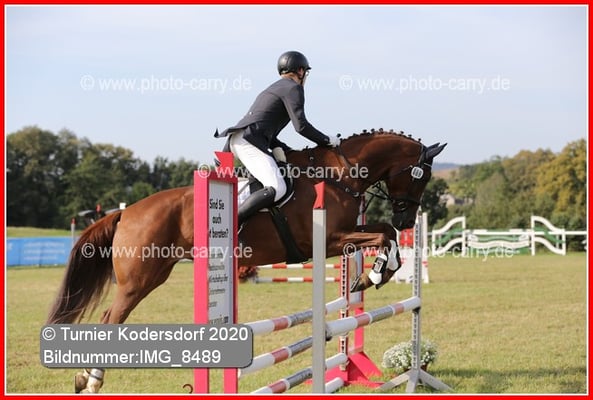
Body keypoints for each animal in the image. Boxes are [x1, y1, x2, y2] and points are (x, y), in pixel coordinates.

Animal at [46, 129, 446, 393]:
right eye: (421, 176)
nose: (407, 220)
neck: (339, 174)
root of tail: (126, 213)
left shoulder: (347, 233)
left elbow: (384, 235)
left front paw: (371, 275)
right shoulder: (330, 239)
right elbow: (381, 238)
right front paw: (374, 275)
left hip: (155, 273)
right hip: (139, 279)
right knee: (110, 319)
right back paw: (91, 380)